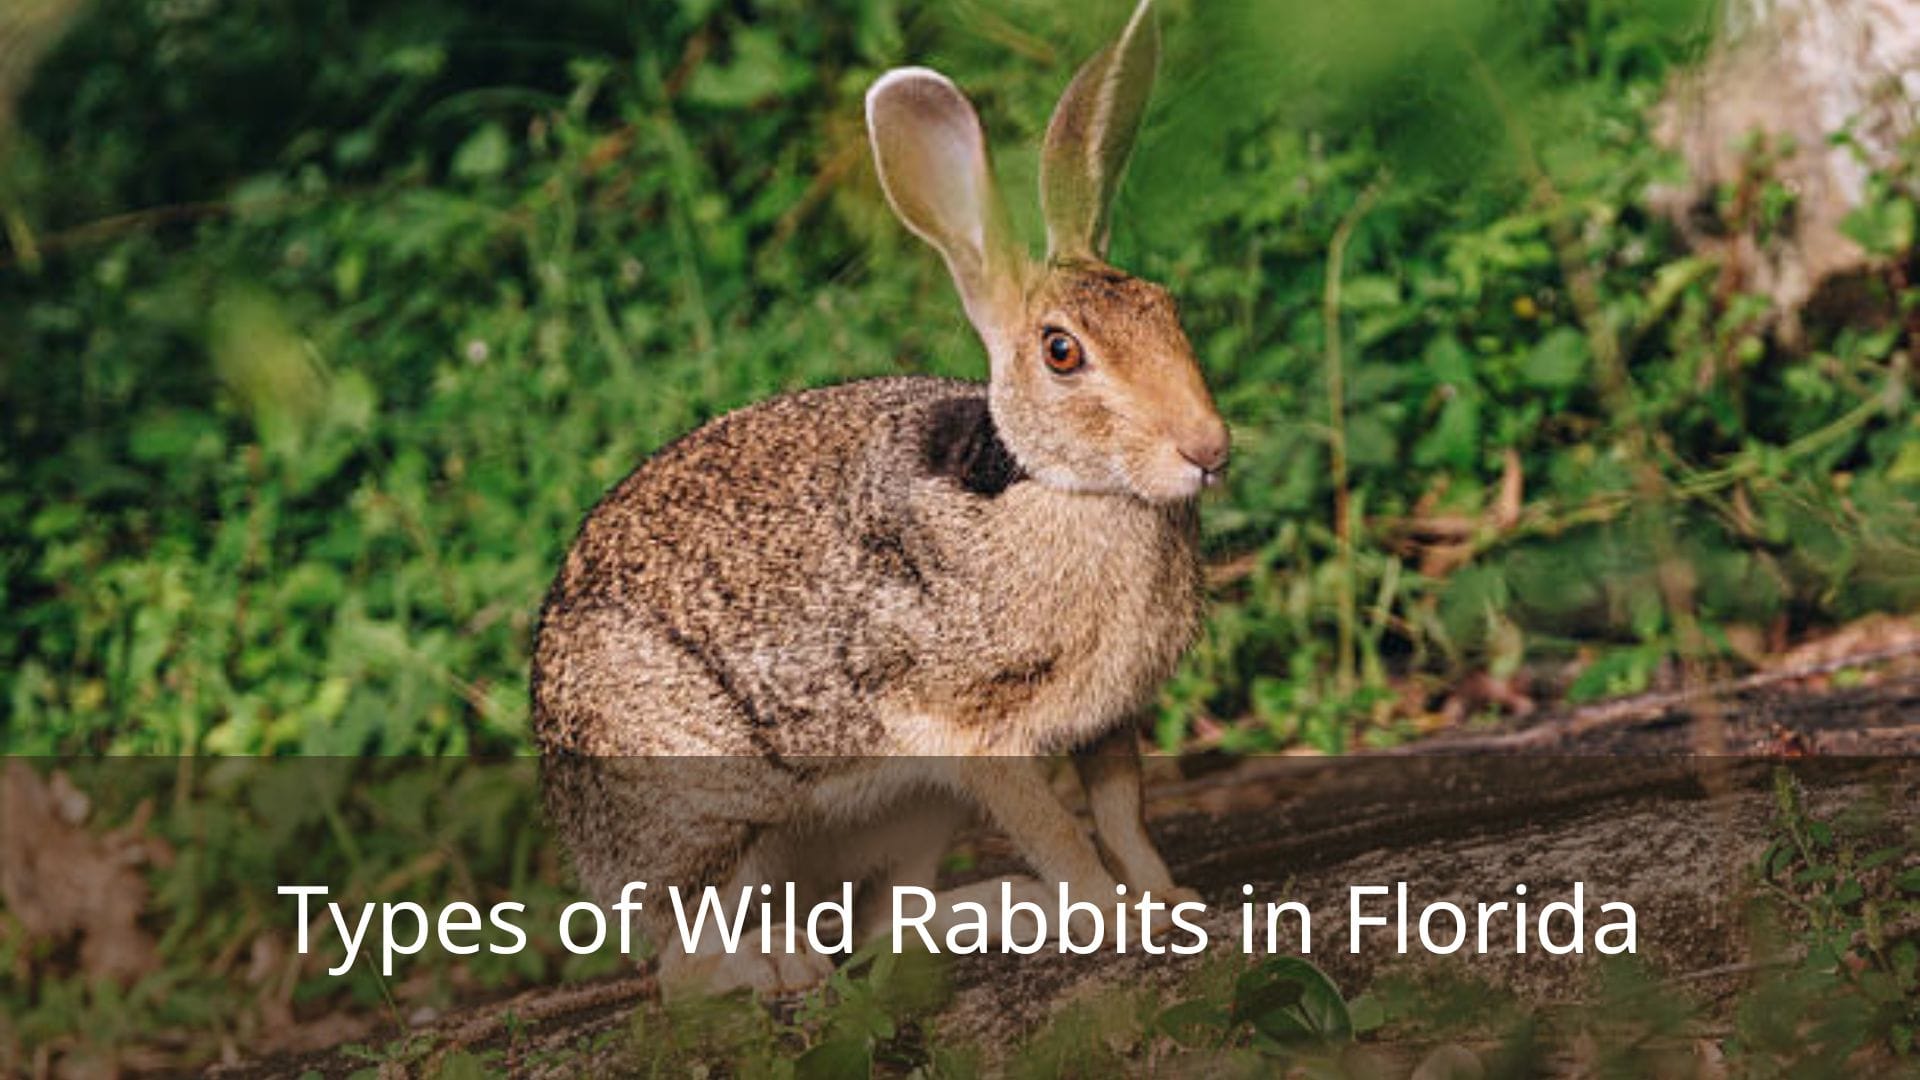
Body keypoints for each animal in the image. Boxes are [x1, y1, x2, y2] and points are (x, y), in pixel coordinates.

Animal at [532, 0, 1229, 997]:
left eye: (1167, 308)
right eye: (1063, 352)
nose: (1207, 449)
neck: (1065, 487)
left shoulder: (1106, 722)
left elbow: (1123, 814)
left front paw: (1171, 903)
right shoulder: (970, 733)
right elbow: (1061, 832)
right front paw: (1116, 916)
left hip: (905, 815)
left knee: (884, 915)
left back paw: (994, 914)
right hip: (712, 808)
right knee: (682, 965)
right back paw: (780, 965)